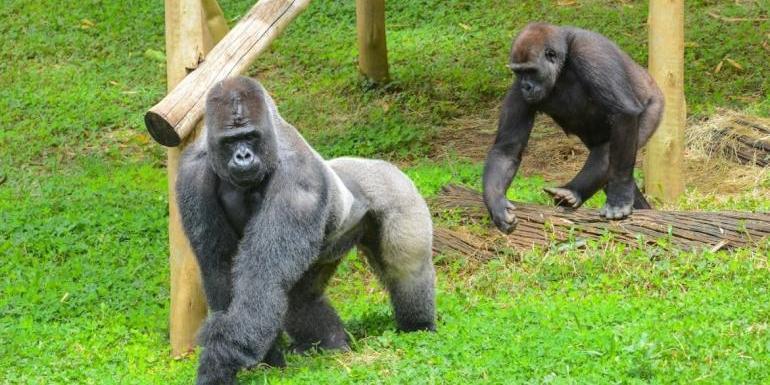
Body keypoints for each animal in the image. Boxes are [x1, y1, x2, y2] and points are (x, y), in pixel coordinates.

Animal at [176, 76, 436, 382]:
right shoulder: (192, 175)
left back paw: (418, 325)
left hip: (399, 193)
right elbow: (219, 265)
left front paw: (219, 360)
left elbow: (263, 277)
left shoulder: (299, 180)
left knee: (407, 269)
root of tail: (385, 165)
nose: (243, 156)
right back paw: (331, 342)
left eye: (250, 136)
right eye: (230, 141)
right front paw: (265, 358)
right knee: (300, 298)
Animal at [484, 23, 664, 234]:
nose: (526, 86)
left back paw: (578, 191)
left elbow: (624, 112)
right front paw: (496, 203)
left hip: (654, 106)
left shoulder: (589, 52)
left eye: (531, 71)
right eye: (519, 72)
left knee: (609, 150)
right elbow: (507, 149)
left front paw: (619, 198)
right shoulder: (517, 89)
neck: (563, 60)